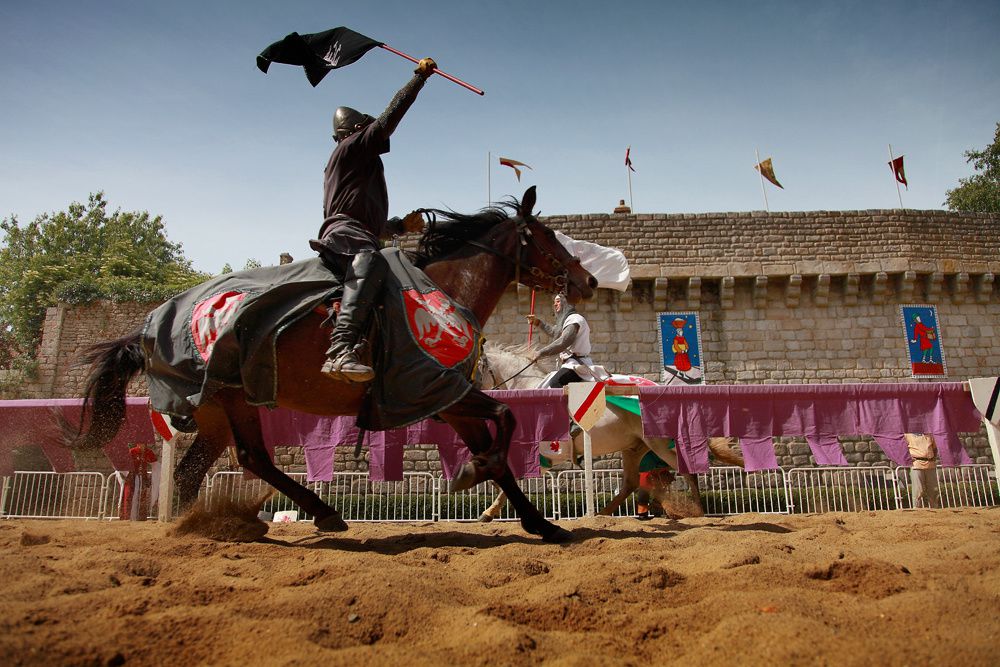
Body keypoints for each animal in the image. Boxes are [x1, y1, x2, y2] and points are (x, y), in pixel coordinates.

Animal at [76, 188, 600, 544]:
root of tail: (152, 324)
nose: (589, 280)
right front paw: (479, 474)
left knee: (203, 469)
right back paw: (314, 513)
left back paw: (216, 526)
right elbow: (506, 422)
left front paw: (538, 521)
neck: (444, 293)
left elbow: (502, 452)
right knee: (246, 459)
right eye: (548, 237)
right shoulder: (444, 393)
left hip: (219, 410)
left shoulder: (450, 401)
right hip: (229, 400)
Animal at [480, 344, 748, 520]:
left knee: (687, 470)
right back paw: (601, 514)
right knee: (630, 483)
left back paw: (699, 512)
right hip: (634, 448)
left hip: (659, 443)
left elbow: (512, 477)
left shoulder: (544, 451)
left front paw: (489, 512)